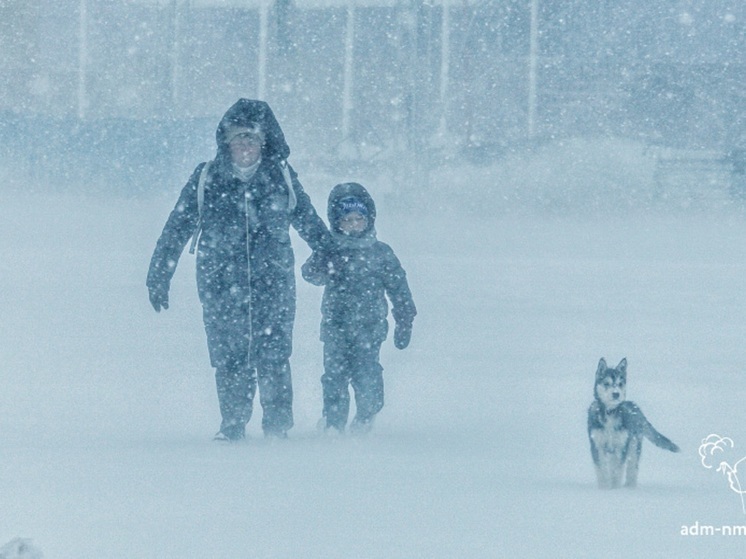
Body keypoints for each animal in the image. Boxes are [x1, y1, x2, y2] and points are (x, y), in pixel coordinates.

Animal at [588, 358, 680, 490]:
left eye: (620, 383)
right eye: (606, 383)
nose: (616, 394)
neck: (610, 412)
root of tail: (635, 406)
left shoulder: (621, 446)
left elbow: (617, 471)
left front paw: (615, 489)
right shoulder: (597, 445)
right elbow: (602, 469)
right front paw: (605, 488)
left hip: (634, 446)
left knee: (632, 469)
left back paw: (630, 487)